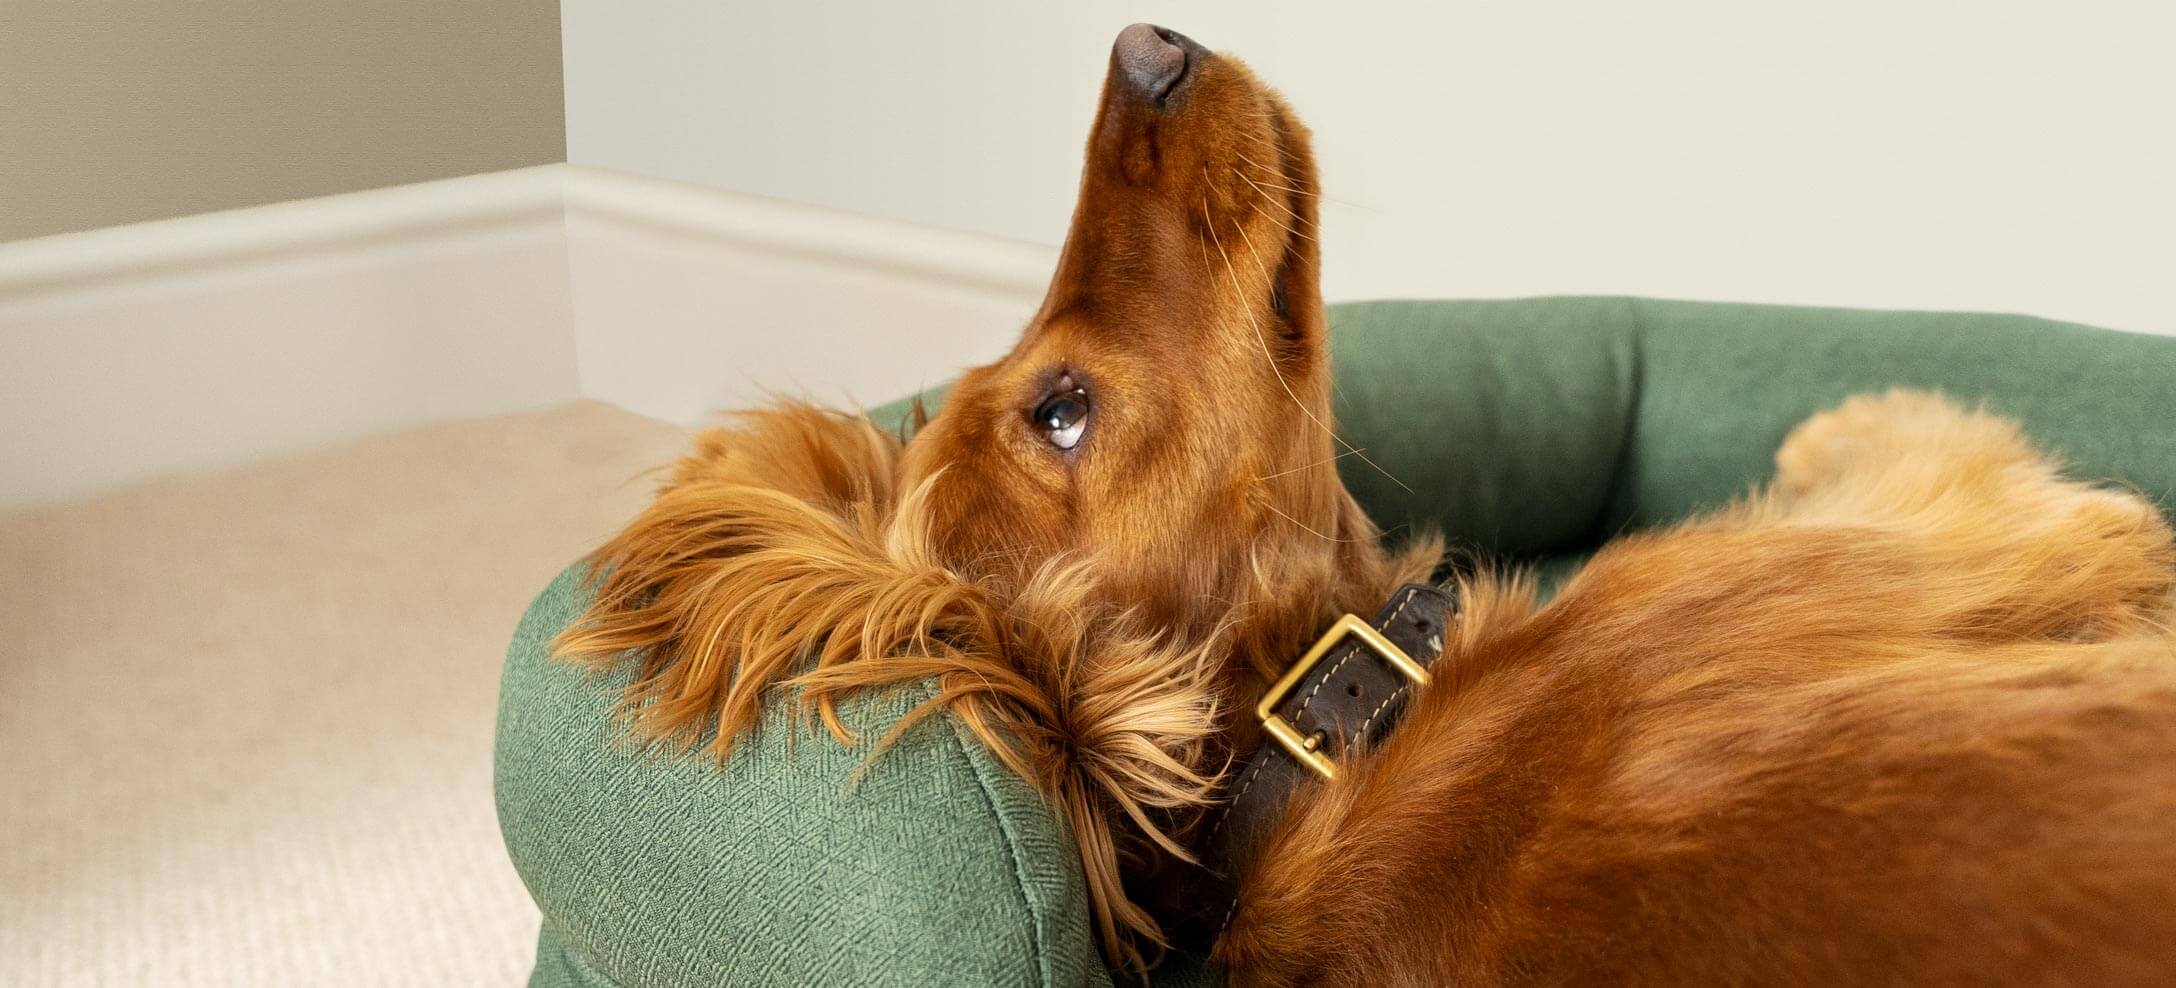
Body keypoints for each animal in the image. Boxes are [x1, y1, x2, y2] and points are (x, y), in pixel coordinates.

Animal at [557, 25, 2176, 987]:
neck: (1330, 734)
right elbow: (1957, 457)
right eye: (1059, 411)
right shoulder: (1942, 535)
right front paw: (1842, 411)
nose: (1146, 43)